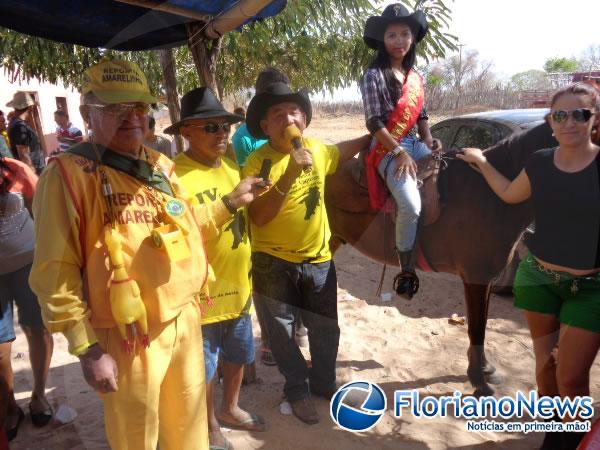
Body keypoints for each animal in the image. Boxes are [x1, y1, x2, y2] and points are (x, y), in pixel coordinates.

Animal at [324, 121, 556, 396]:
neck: (491, 194)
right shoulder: (476, 277)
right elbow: (476, 328)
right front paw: (479, 381)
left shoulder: (486, 279)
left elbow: (481, 325)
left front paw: (485, 370)